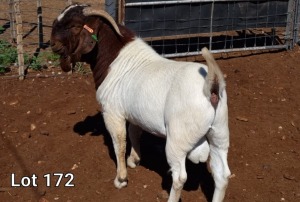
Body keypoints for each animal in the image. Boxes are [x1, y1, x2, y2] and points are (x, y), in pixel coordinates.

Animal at [50, 3, 231, 202]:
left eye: (75, 26)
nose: (53, 44)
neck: (115, 59)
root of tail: (211, 86)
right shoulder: (135, 113)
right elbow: (134, 133)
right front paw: (134, 160)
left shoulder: (112, 112)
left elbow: (119, 143)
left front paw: (121, 178)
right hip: (219, 134)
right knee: (222, 174)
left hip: (178, 140)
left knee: (179, 177)